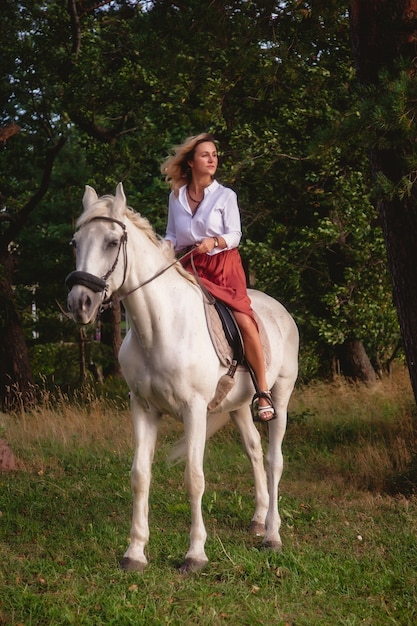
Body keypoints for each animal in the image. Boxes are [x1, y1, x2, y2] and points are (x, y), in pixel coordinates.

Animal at [66, 180, 298, 572]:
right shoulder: (143, 408)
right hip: (237, 407)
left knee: (273, 460)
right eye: (76, 243)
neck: (159, 328)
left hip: (279, 396)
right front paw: (135, 553)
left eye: (112, 242)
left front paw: (195, 554)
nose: (79, 303)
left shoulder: (194, 410)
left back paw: (272, 535)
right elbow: (139, 475)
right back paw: (257, 519)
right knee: (254, 451)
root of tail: (280, 310)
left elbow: (194, 478)